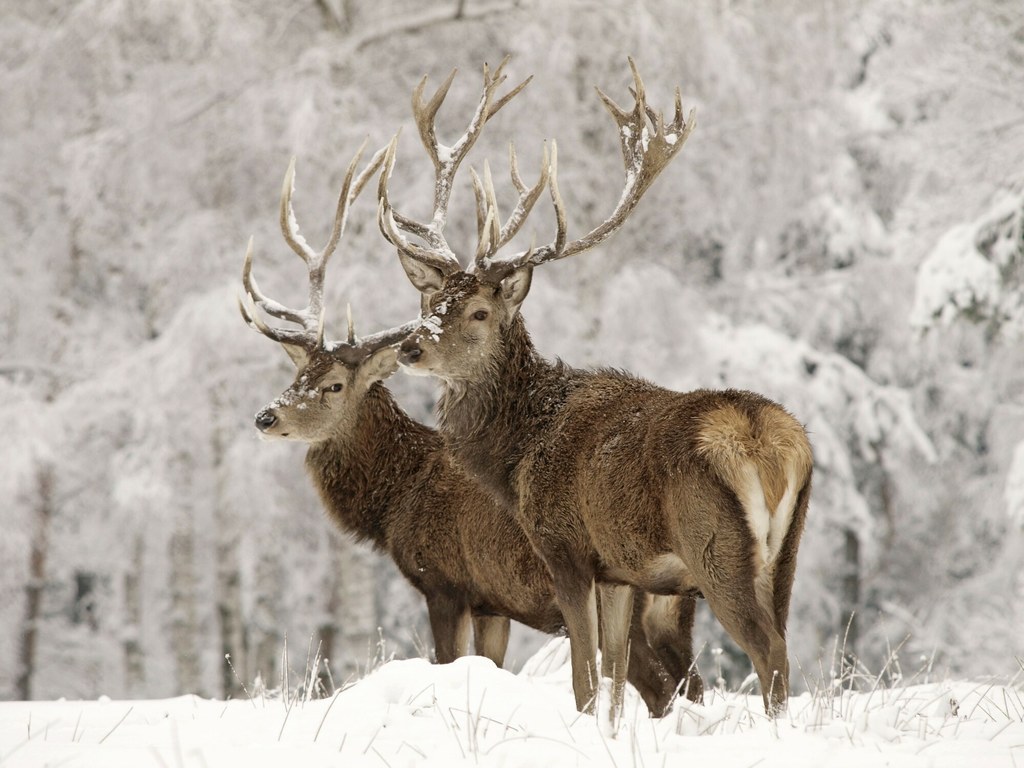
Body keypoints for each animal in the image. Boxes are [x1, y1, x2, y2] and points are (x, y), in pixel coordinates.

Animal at [235, 141, 700, 720]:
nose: (266, 417)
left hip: (630, 598)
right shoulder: (492, 603)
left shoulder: (445, 583)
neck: (396, 500)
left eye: (334, 385)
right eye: (296, 376)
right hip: (671, 613)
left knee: (658, 689)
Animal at [378, 58, 815, 720]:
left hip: (716, 546)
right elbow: (611, 677)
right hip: (785, 552)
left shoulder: (565, 548)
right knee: (781, 642)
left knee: (768, 649)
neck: (516, 456)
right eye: (432, 302)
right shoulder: (618, 573)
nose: (410, 347)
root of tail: (768, 441)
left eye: (479, 311)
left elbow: (585, 678)